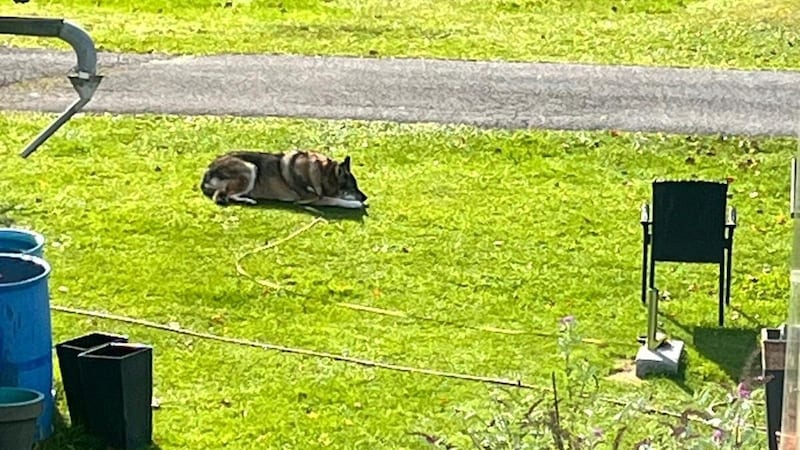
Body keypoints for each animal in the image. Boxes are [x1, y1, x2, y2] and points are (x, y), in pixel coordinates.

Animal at [200, 149, 368, 209]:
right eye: (352, 187)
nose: (365, 197)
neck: (321, 172)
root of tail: (207, 172)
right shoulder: (312, 198)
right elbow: (335, 200)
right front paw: (355, 204)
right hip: (250, 168)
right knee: (223, 195)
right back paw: (248, 200)